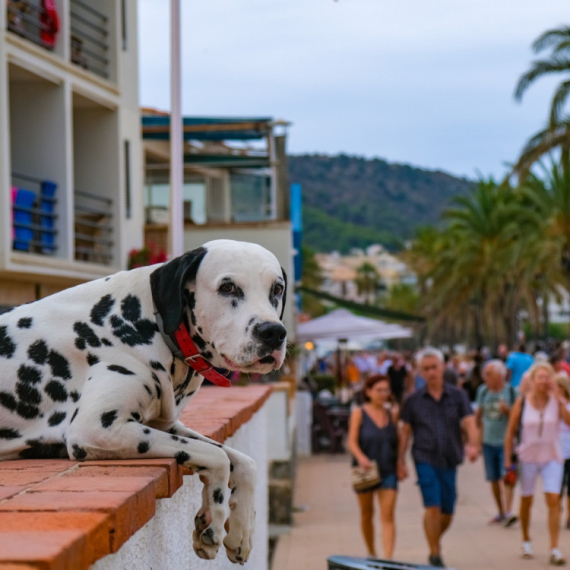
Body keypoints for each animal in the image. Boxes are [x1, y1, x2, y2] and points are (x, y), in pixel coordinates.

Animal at [0, 237, 286, 560]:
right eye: (228, 287)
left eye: (277, 289)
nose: (273, 332)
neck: (148, 322)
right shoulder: (97, 429)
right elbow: (218, 457)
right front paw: (213, 521)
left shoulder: (163, 424)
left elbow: (243, 461)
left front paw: (240, 532)